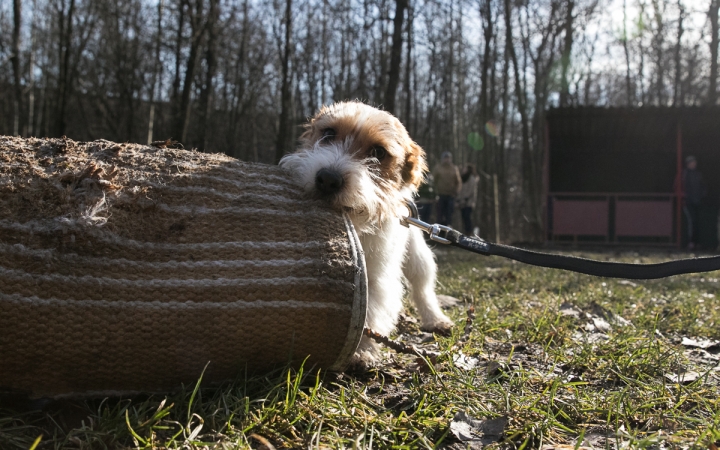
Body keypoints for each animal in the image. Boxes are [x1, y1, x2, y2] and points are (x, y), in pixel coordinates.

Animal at [278, 101, 452, 366]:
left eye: (378, 152)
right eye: (328, 134)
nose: (327, 179)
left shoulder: (377, 275)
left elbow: (370, 310)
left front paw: (361, 350)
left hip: (418, 258)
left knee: (423, 288)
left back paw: (435, 319)